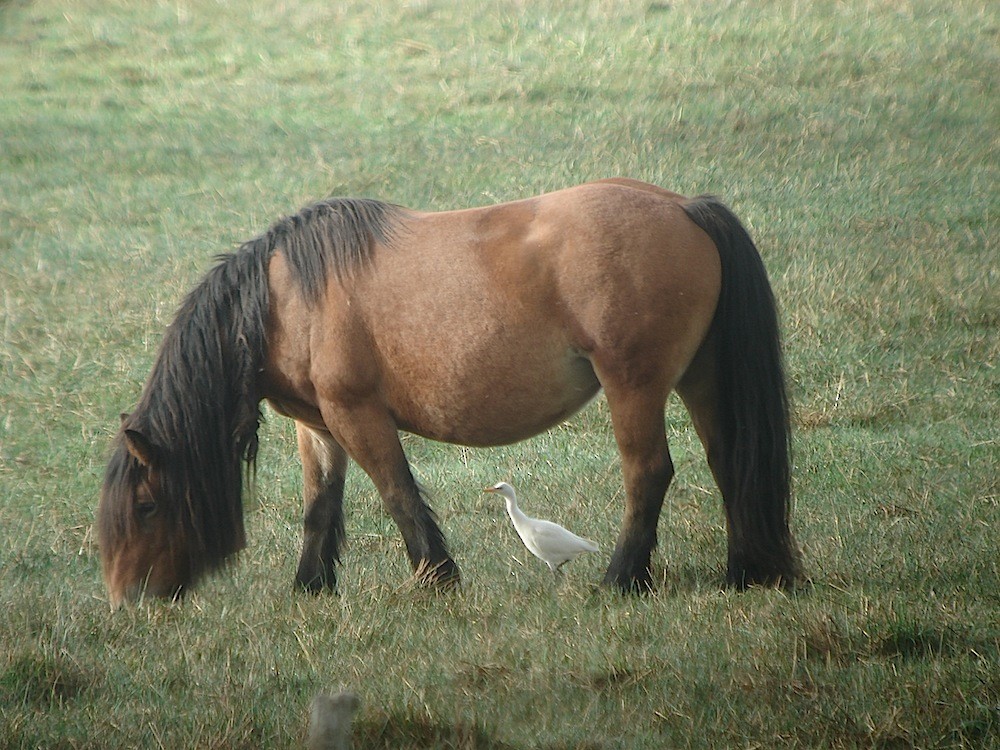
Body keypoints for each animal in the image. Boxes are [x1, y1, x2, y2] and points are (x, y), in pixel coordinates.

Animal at [97, 179, 800, 608]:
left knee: (649, 473)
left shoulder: (356, 413)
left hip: (634, 386)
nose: (127, 599)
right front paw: (309, 589)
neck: (283, 297)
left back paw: (622, 580)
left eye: (148, 505)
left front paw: (436, 579)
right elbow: (319, 507)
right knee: (730, 464)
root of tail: (685, 208)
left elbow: (398, 494)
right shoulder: (317, 425)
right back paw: (747, 574)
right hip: (701, 380)